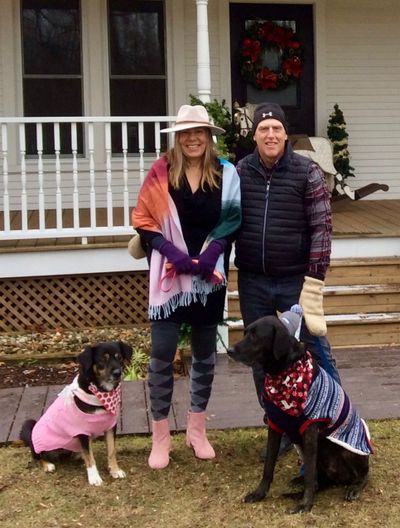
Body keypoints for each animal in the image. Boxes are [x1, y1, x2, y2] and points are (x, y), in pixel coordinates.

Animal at [20, 341, 133, 486]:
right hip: (42, 445)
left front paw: (115, 470)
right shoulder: (82, 431)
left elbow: (111, 450)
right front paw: (94, 478)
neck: (100, 393)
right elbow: (90, 458)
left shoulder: (110, 427)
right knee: (37, 456)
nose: (118, 373)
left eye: (119, 357)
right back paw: (48, 465)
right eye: (102, 359)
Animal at [227, 316, 372, 513]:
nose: (229, 350)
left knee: (362, 475)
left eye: (255, 336)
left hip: (347, 450)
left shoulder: (310, 431)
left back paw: (354, 488)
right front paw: (259, 493)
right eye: (245, 333)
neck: (282, 373)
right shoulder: (274, 426)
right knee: (319, 481)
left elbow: (310, 474)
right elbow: (268, 466)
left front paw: (305, 504)